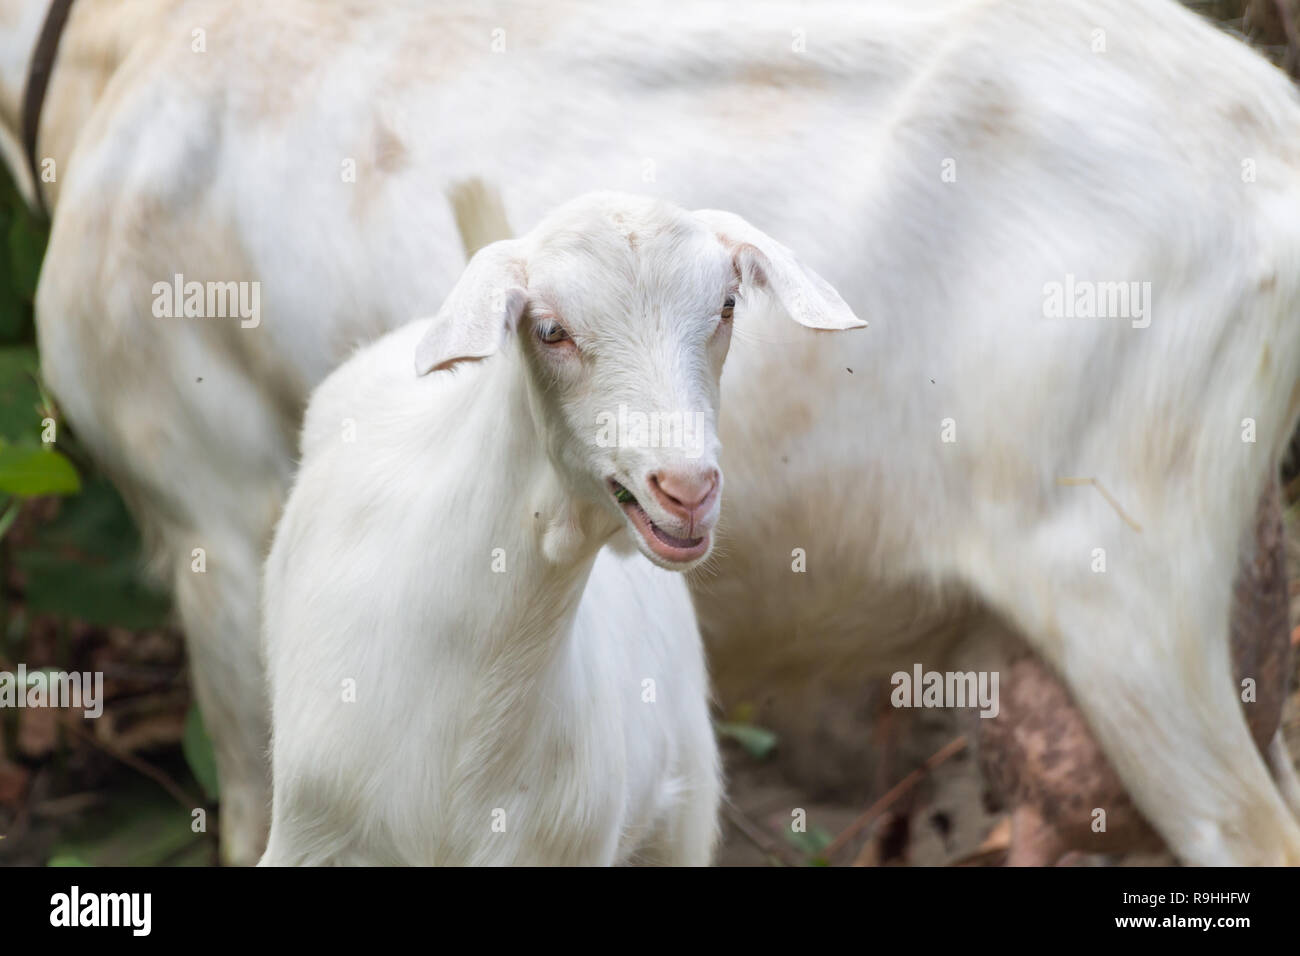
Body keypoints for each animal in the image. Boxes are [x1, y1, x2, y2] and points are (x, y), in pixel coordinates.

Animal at [7, 0, 1300, 868]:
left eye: (728, 304)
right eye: (549, 327)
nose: (686, 487)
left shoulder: (209, 503)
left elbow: (243, 800)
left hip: (1127, 579)